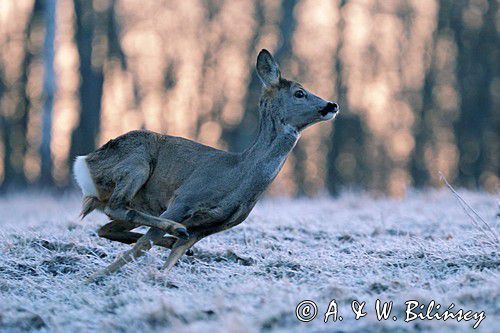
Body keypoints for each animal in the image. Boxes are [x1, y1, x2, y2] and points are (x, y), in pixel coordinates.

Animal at [74, 48, 340, 278]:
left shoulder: (210, 227)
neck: (237, 174)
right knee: (117, 208)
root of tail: (86, 161)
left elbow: (171, 257)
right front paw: (95, 277)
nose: (332, 105)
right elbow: (143, 245)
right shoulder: (184, 198)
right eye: (299, 93)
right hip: (137, 164)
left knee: (107, 228)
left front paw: (162, 275)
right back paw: (173, 231)